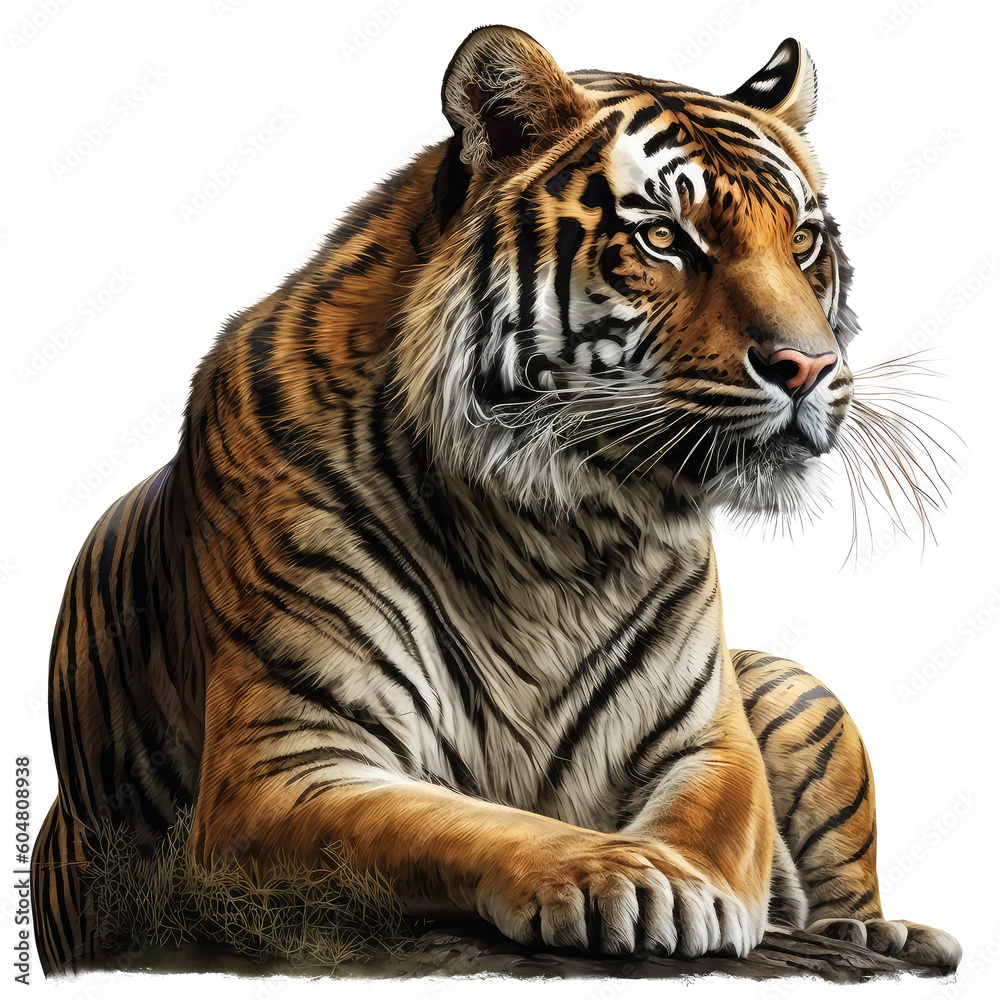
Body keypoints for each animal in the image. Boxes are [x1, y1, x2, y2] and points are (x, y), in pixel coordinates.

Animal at [32, 24, 961, 976]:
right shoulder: (283, 762)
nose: (809, 367)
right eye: (664, 237)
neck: (557, 532)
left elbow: (713, 819)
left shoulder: (713, 735)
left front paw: (686, 878)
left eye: (803, 240)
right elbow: (454, 824)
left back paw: (877, 931)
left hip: (794, 686)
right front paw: (622, 876)